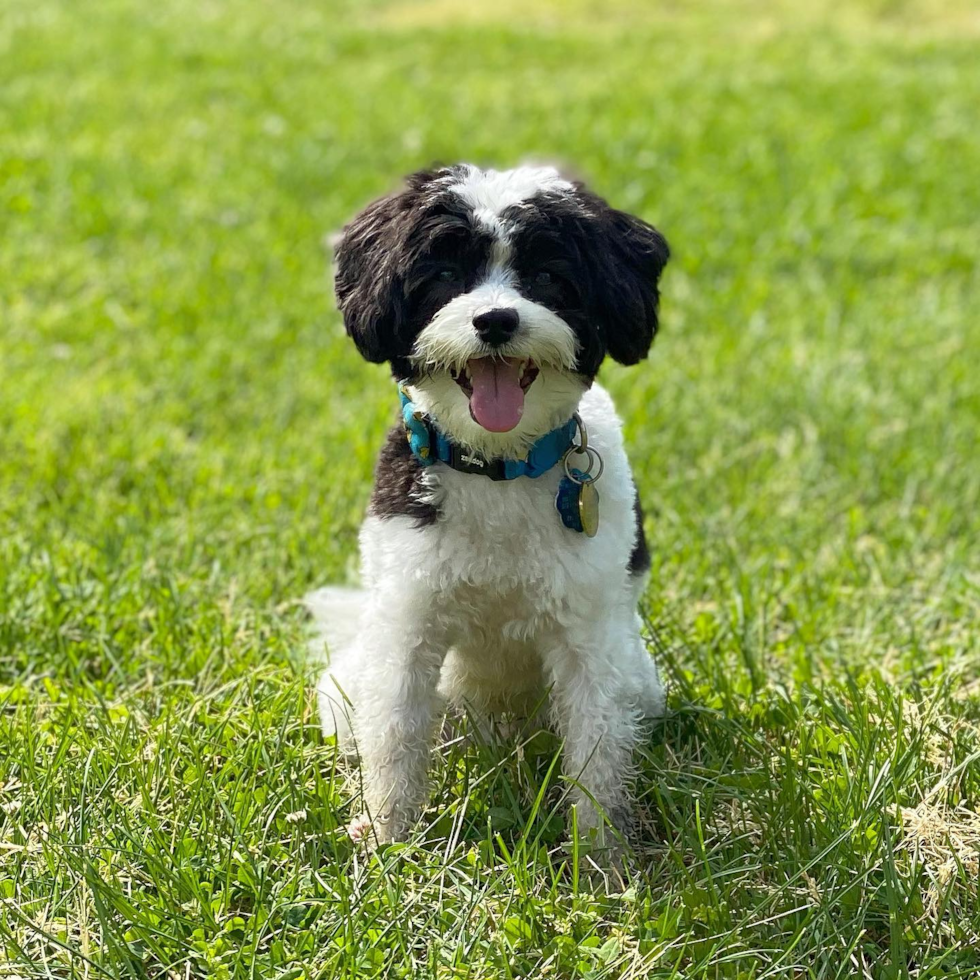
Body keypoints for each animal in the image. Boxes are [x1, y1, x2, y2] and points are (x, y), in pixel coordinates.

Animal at [310, 165, 668, 848]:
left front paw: (600, 857)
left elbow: (596, 754)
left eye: (549, 276)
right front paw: (387, 841)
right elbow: (394, 736)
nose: (496, 320)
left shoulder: (590, 638)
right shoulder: (408, 619)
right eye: (446, 273)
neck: (500, 466)